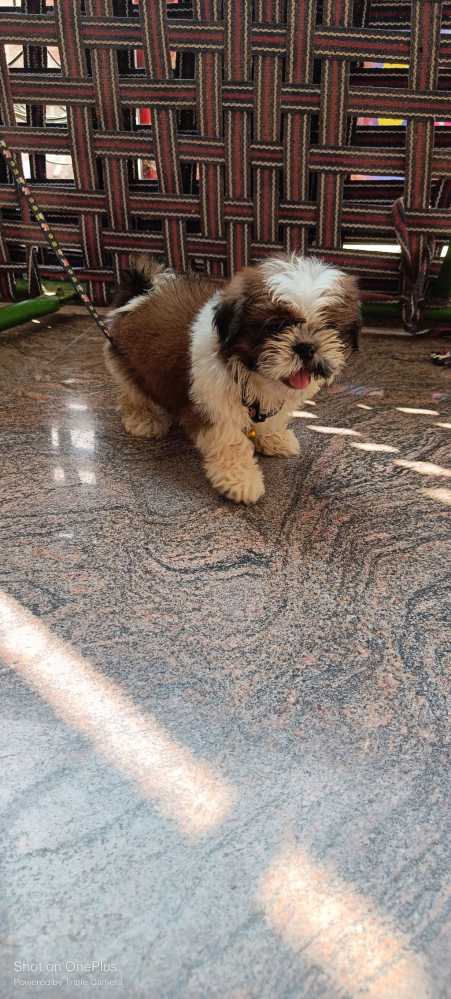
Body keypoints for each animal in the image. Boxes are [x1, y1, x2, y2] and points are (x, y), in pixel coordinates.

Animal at [105, 254, 361, 504]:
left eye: (329, 326)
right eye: (275, 326)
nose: (306, 347)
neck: (253, 374)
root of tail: (140, 295)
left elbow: (270, 421)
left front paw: (274, 438)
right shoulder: (213, 403)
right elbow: (231, 441)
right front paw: (240, 480)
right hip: (129, 364)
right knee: (134, 394)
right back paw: (144, 418)